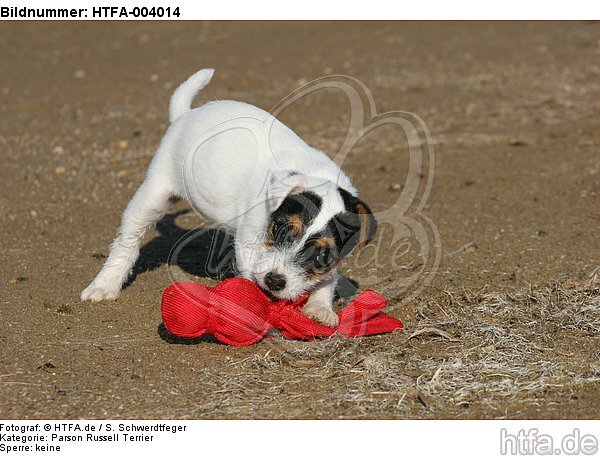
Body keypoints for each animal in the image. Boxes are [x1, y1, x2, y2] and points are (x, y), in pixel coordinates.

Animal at [79, 68, 376, 328]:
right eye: (280, 229)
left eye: (322, 255)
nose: (275, 281)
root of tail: (185, 114)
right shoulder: (250, 242)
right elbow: (254, 284)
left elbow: (326, 280)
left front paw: (320, 308)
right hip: (153, 195)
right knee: (126, 243)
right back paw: (104, 285)